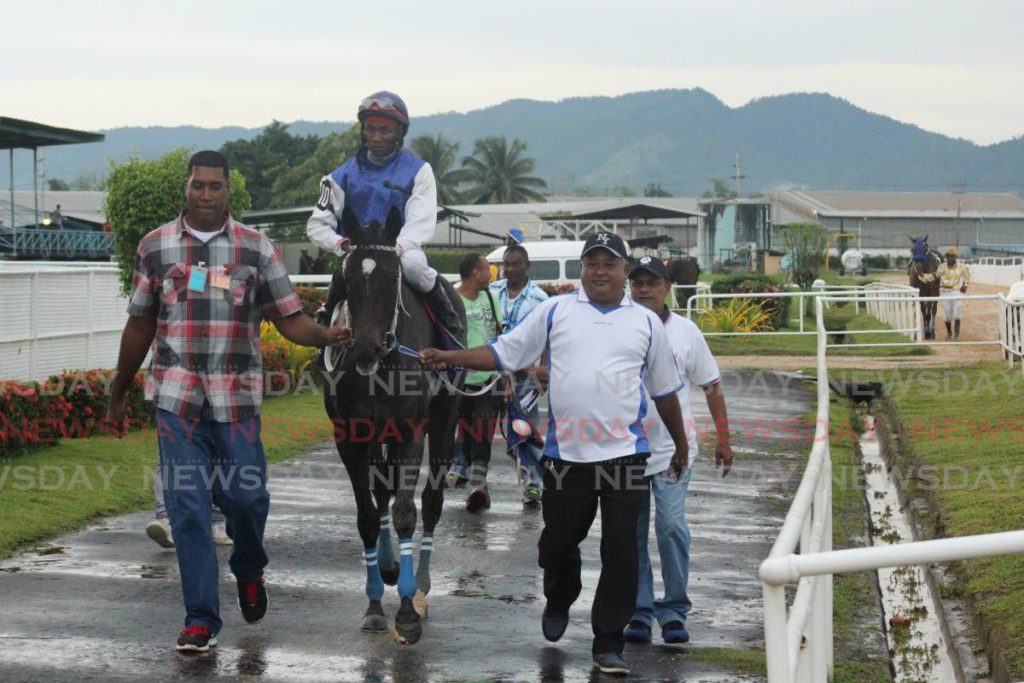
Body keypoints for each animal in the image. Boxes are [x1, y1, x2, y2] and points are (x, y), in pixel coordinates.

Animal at [321, 205, 466, 643]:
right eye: (348, 280)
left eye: (392, 277)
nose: (365, 349)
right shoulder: (350, 437)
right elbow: (369, 516)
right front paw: (374, 603)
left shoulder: (409, 431)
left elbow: (406, 512)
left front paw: (405, 611)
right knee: (381, 491)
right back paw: (387, 565)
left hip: (445, 416)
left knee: (432, 501)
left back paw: (419, 587)